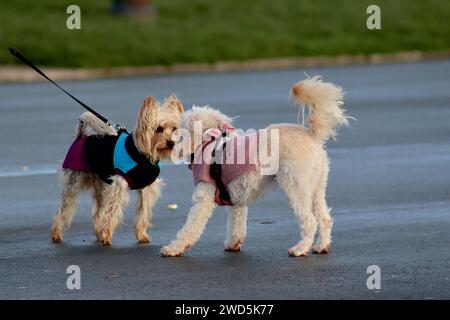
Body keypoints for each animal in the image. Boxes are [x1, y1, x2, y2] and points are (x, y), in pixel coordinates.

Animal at [53, 94, 185, 245]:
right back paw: (57, 233)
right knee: (64, 208)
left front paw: (141, 235)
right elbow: (112, 212)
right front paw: (106, 236)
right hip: (73, 183)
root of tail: (81, 137)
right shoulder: (118, 186)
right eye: (158, 129)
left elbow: (143, 212)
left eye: (174, 129)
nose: (171, 142)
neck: (142, 155)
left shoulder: (146, 189)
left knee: (97, 212)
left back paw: (98, 233)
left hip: (101, 185)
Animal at [161, 76, 348, 256]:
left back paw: (300, 249)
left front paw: (174, 248)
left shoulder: (203, 198)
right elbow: (236, 223)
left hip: (296, 187)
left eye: (179, 130)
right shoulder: (235, 200)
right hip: (316, 188)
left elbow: (190, 227)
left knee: (310, 221)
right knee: (325, 219)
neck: (207, 144)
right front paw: (233, 244)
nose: (169, 142)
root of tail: (312, 135)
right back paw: (321, 246)